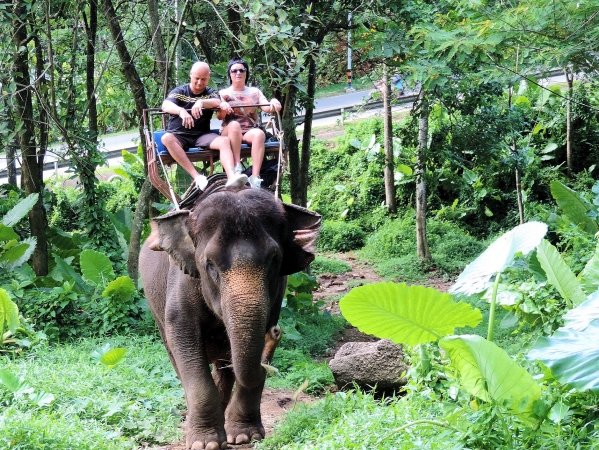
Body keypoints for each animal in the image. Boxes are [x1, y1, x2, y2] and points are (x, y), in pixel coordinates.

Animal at [140, 182, 322, 450]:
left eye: (274, 260)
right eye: (210, 265)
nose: (275, 332)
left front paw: (245, 436)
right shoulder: (181, 283)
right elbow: (184, 339)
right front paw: (205, 443)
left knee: (225, 367)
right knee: (175, 354)